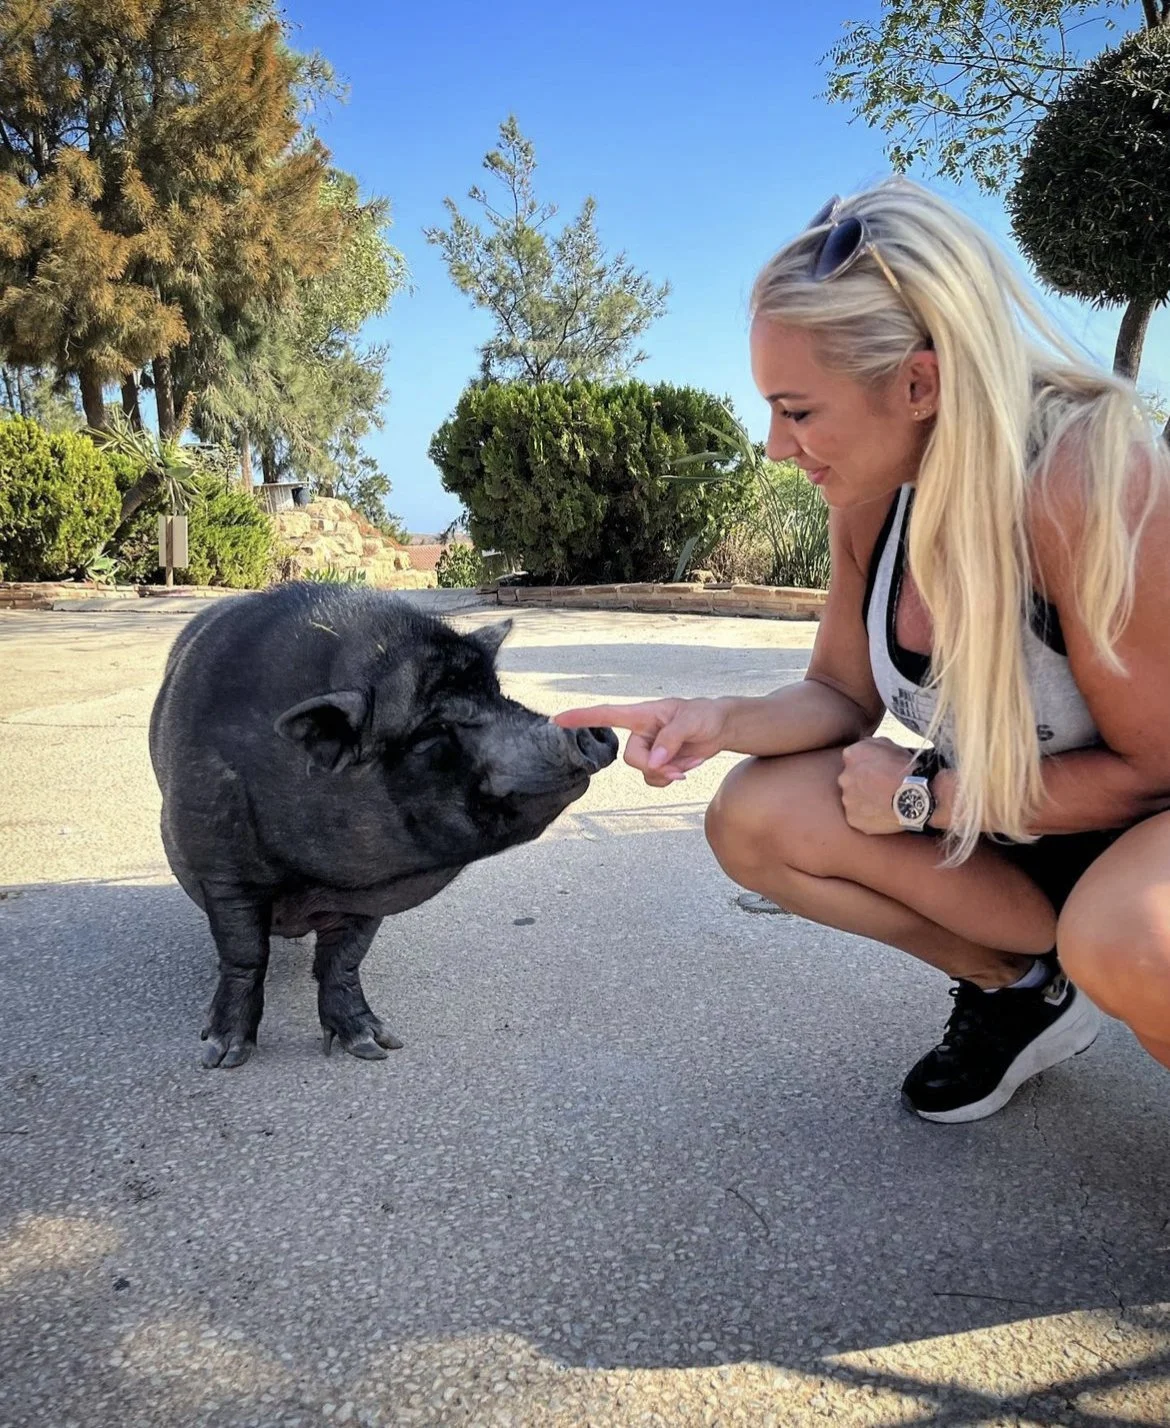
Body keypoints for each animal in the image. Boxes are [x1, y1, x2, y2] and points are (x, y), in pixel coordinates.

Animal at [149, 583, 618, 1068]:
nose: (590, 730)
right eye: (433, 729)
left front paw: (375, 1047)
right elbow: (244, 952)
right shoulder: (221, 868)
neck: (313, 882)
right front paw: (221, 1057)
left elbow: (344, 959)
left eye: (500, 696)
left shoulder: (370, 893)